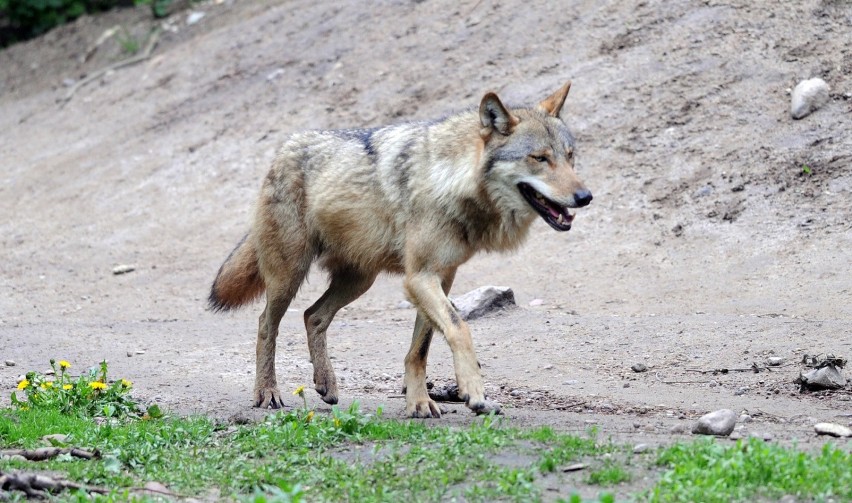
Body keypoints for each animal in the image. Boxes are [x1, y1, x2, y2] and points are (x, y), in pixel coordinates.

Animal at [209, 82, 592, 420]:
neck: (449, 179)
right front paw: (475, 394)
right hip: (289, 276)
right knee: (266, 324)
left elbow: (419, 349)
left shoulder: (440, 278)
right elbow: (460, 329)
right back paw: (267, 392)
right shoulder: (419, 278)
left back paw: (326, 384)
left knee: (312, 316)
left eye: (570, 157)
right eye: (539, 158)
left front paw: (419, 403)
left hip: (359, 281)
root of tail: (284, 148)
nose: (585, 197)